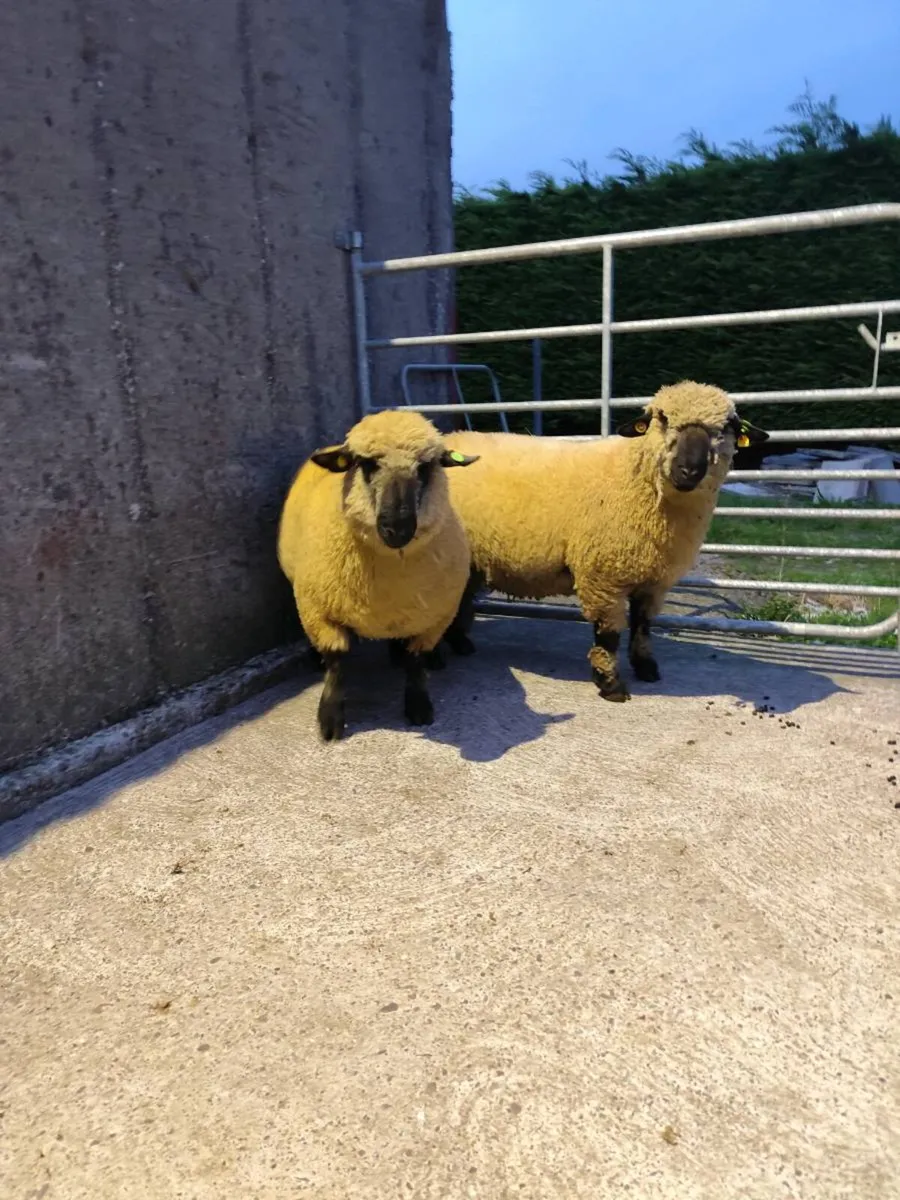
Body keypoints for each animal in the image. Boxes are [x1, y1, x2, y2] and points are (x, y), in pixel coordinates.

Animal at [276, 409, 479, 740]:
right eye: (365, 463)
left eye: (426, 466)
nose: (396, 527)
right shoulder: (318, 611)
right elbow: (336, 663)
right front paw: (330, 720)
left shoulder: (434, 617)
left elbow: (415, 662)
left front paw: (418, 707)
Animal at [439, 381, 769, 701]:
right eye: (662, 419)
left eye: (726, 427)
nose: (689, 470)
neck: (634, 478)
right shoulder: (603, 578)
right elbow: (608, 636)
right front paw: (610, 685)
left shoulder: (654, 580)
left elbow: (643, 625)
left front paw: (646, 667)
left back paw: (460, 643)